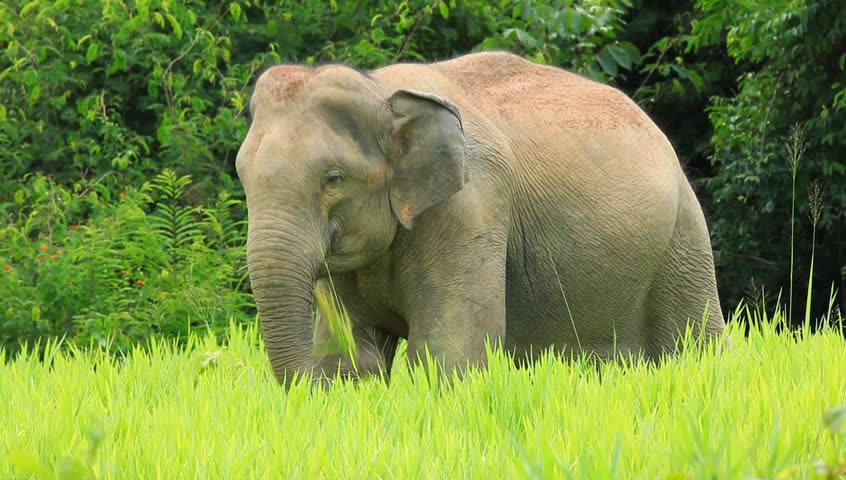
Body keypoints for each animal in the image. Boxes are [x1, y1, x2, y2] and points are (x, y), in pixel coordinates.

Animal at [235, 50, 724, 388]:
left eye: (333, 179)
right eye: (242, 175)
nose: (310, 385)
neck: (381, 91)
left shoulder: (470, 207)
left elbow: (446, 353)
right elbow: (356, 355)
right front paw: (345, 378)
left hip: (684, 239)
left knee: (696, 342)